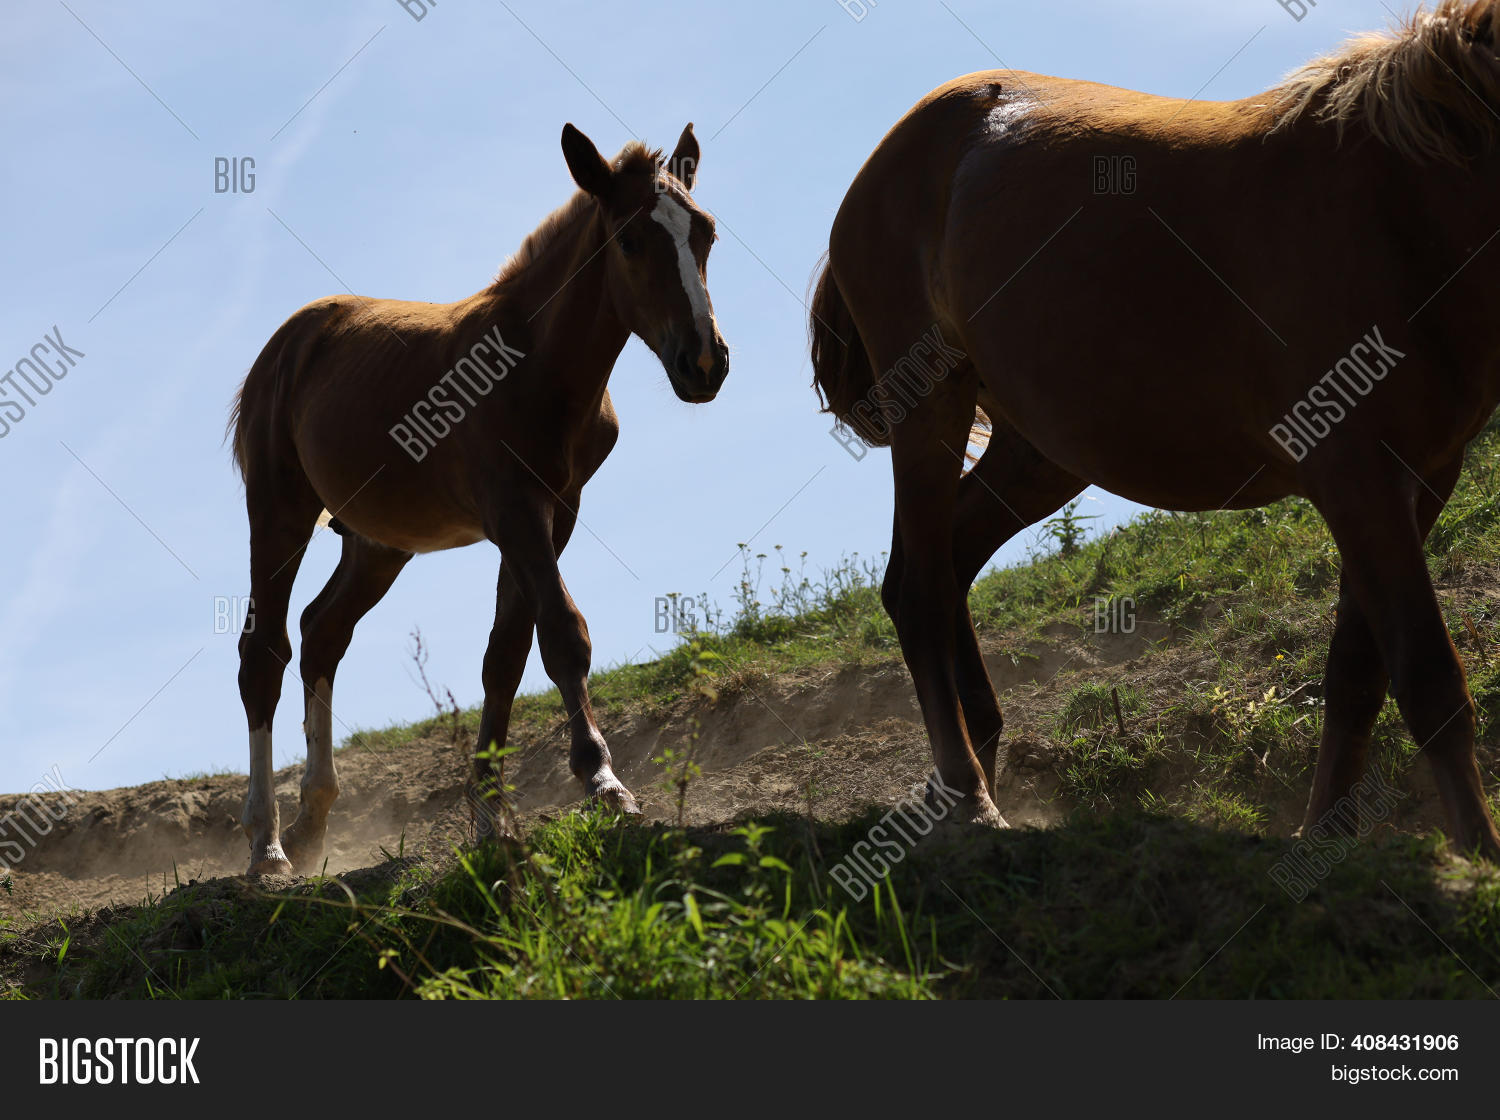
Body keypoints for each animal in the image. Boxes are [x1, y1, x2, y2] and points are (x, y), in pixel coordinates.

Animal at [229, 123, 728, 876]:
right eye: (630, 239)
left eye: (705, 232)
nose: (705, 362)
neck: (535, 367)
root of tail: (286, 344)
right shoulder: (513, 510)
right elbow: (563, 634)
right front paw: (604, 781)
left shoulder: (556, 512)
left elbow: (507, 654)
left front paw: (492, 813)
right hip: (279, 510)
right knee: (265, 652)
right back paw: (268, 847)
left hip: (380, 542)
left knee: (322, 633)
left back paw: (315, 823)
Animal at [811, 0, 1500, 859]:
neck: (1396, 203)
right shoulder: (1357, 477)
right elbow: (1429, 676)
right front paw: (1477, 853)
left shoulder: (1420, 480)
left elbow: (1356, 672)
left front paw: (1323, 839)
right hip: (930, 407)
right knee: (919, 591)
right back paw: (970, 795)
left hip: (1039, 452)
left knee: (945, 566)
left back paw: (980, 761)